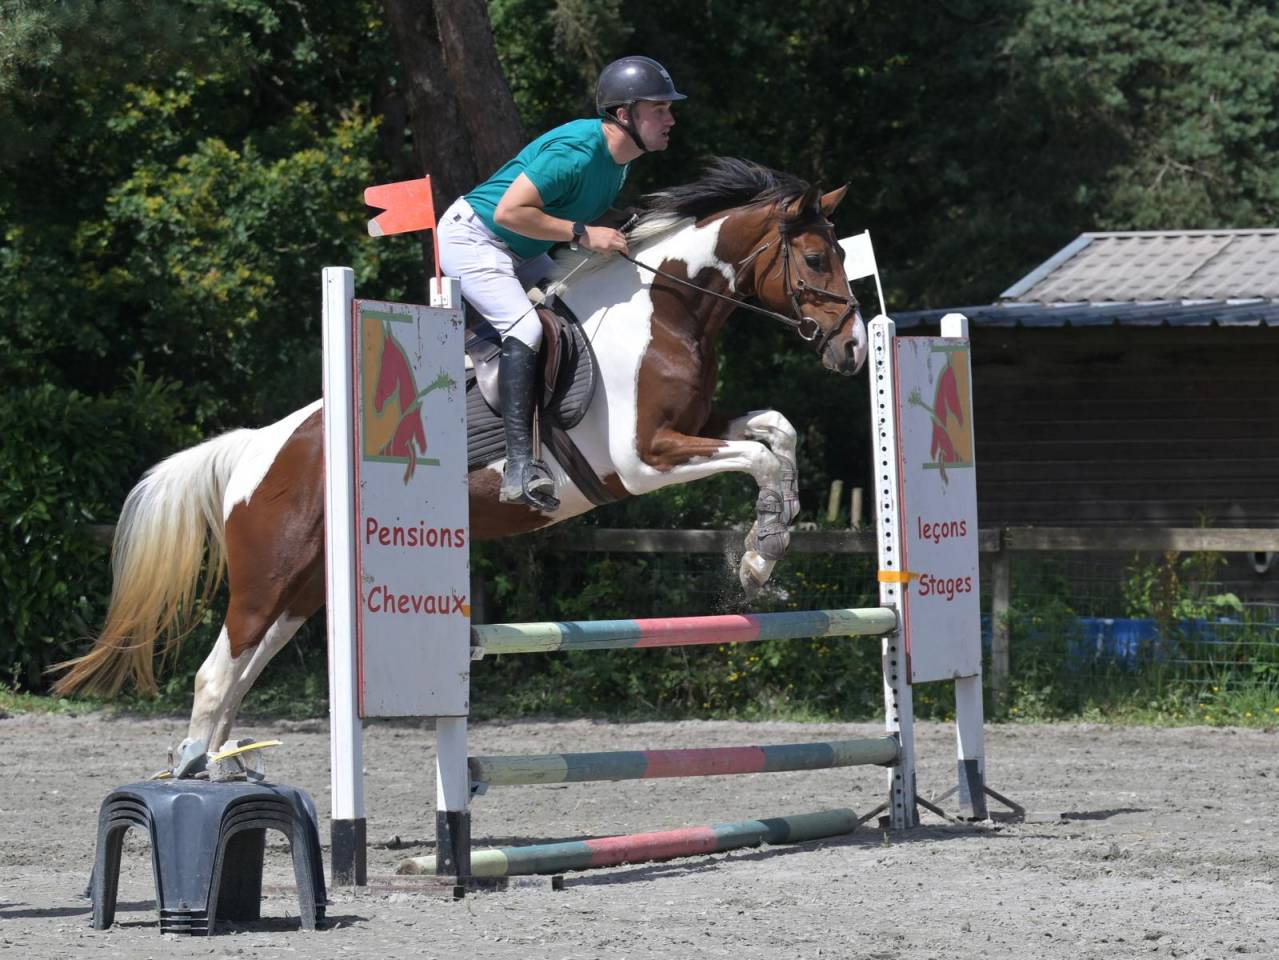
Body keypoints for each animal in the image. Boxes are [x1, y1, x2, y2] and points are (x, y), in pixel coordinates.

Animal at [52, 157, 867, 751]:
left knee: (240, 679)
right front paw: (759, 556)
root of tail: (256, 449)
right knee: (215, 679)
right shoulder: (644, 458)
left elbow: (779, 434)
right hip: (266, 580)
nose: (855, 350)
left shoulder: (696, 423)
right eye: (816, 258)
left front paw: (776, 532)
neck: (662, 307)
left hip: (305, 589)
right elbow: (757, 457)